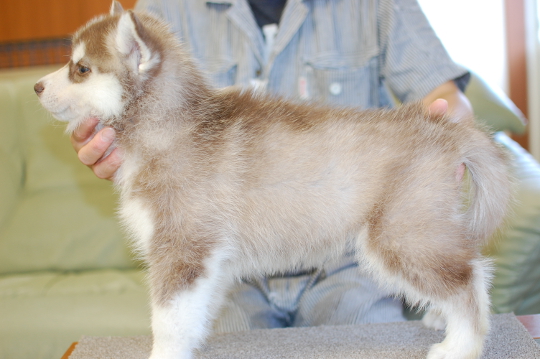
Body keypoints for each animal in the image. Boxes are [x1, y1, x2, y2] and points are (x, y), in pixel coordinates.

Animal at [35, 1, 512, 358]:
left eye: (80, 69)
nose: (37, 87)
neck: (171, 126)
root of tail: (444, 131)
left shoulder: (183, 247)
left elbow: (167, 320)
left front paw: (164, 353)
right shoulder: (208, 261)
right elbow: (191, 316)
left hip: (400, 233)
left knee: (469, 279)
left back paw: (460, 345)